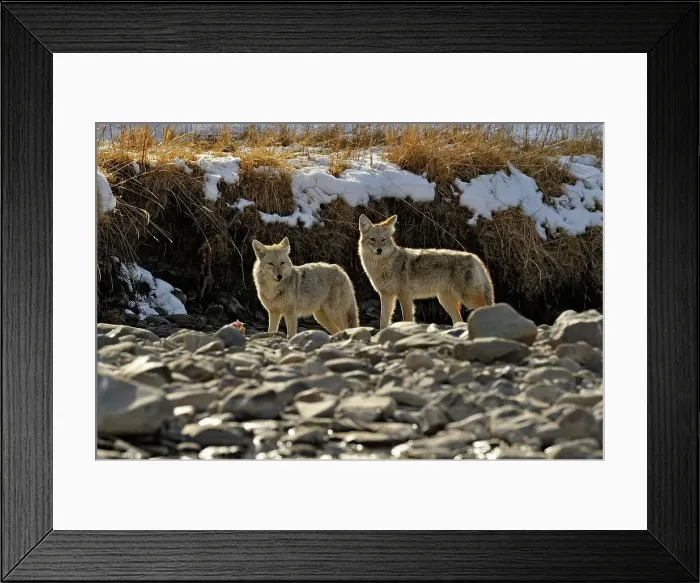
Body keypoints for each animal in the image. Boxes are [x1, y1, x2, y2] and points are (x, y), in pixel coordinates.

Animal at [358, 214, 494, 328]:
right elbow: (383, 322)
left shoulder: (405, 295)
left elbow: (407, 319)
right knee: (459, 321)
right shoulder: (386, 295)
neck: (384, 266)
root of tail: (475, 257)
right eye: (372, 239)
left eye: (383, 240)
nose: (379, 250)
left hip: (468, 299)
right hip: (446, 302)